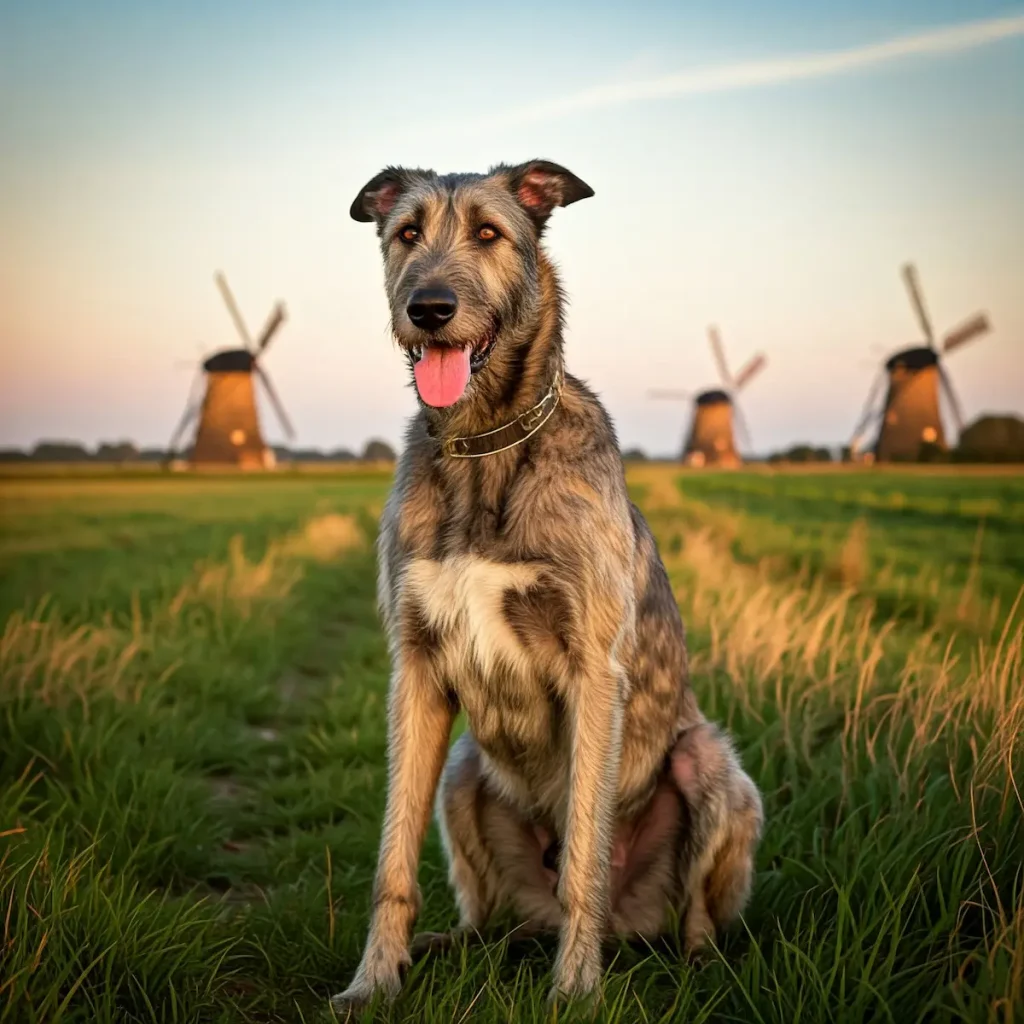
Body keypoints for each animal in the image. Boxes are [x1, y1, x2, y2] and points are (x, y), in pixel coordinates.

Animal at [331, 159, 765, 1007]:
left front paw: (574, 992)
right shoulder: (416, 669)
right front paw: (371, 983)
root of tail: (635, 930)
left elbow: (584, 860)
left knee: (694, 917)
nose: (429, 309)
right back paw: (445, 946)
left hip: (712, 768)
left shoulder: (594, 670)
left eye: (489, 232)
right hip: (463, 771)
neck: (484, 447)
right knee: (485, 915)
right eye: (406, 233)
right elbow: (393, 861)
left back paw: (696, 966)